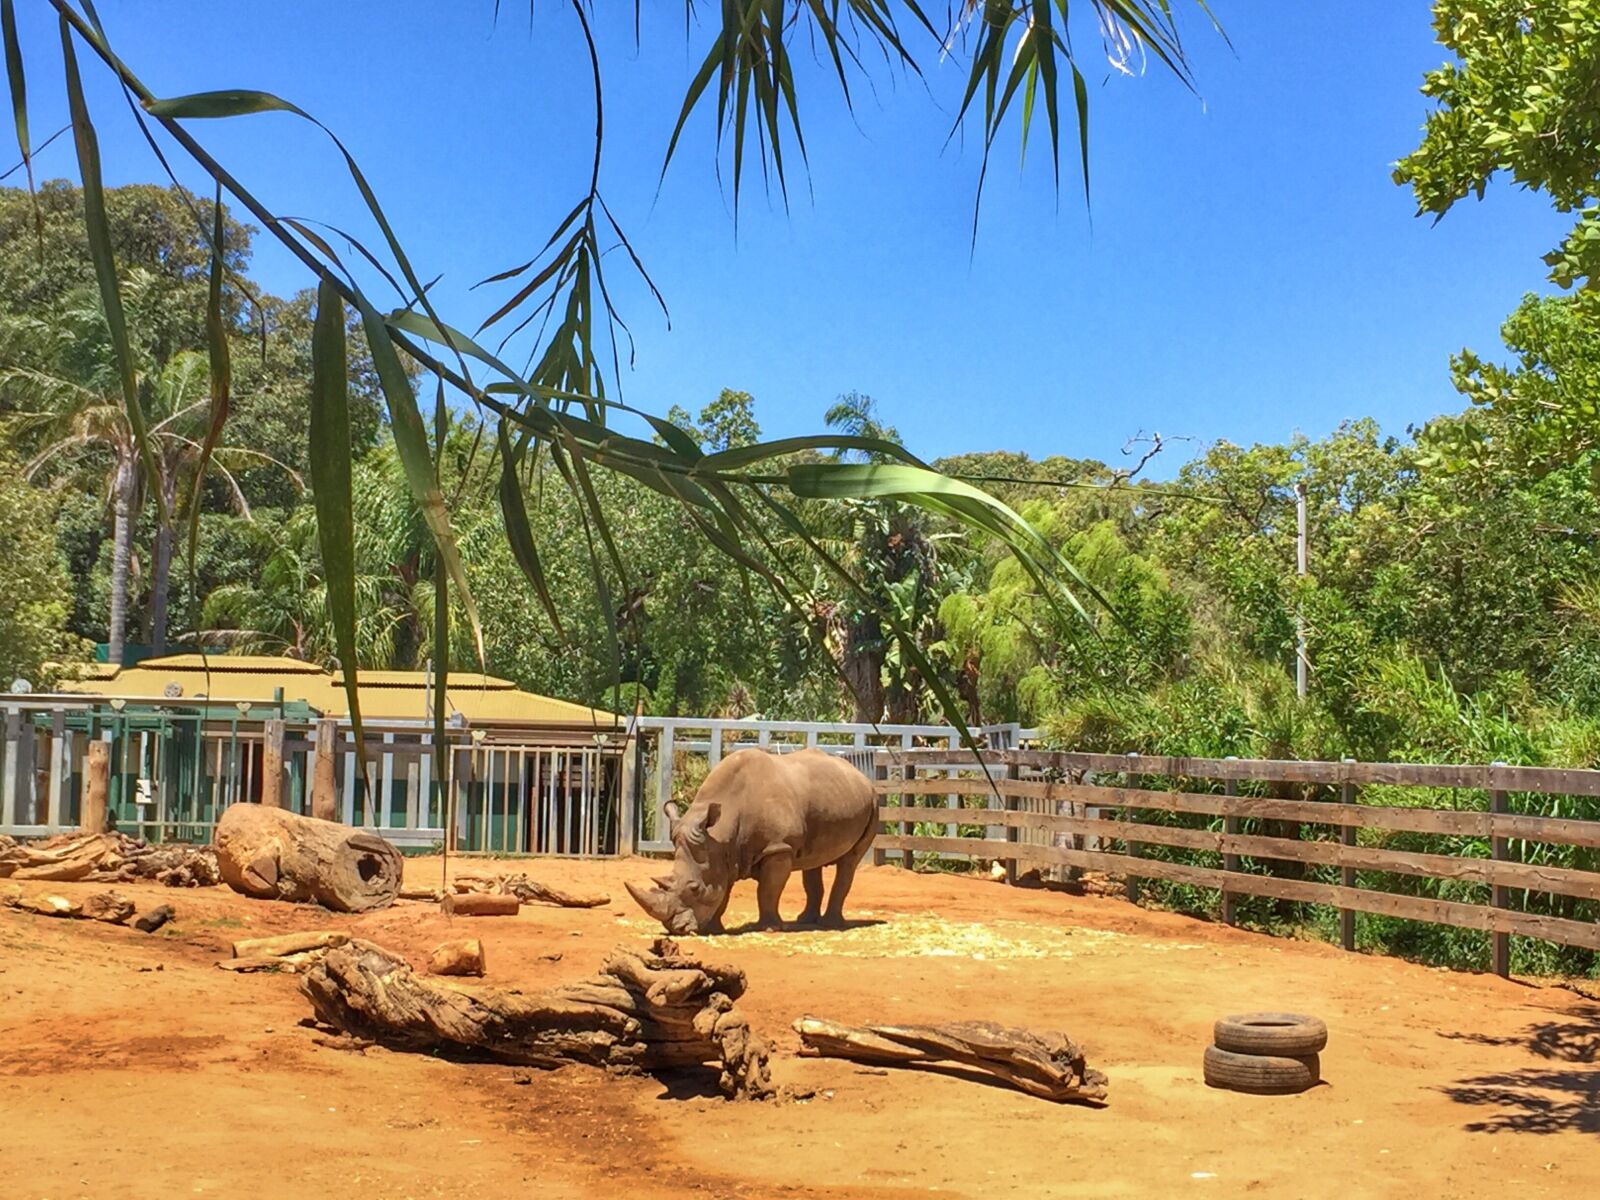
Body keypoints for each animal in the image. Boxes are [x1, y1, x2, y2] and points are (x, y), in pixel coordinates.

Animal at [626, 747, 878, 935]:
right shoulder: (723, 852)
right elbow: (724, 890)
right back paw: (804, 921)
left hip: (874, 802)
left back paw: (830, 925)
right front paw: (715, 929)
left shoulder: (778, 848)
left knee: (850, 861)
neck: (721, 832)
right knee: (812, 861)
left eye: (695, 888)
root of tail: (861, 776)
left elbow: (767, 890)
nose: (676, 929)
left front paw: (769, 928)